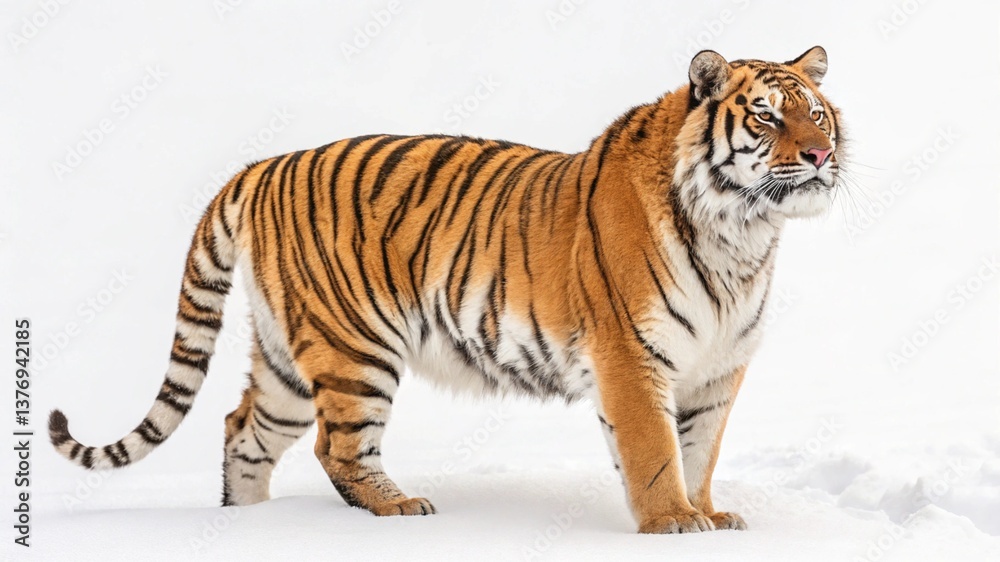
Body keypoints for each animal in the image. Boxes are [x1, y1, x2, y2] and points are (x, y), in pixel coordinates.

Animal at [49, 46, 841, 534]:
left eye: (819, 112)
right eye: (766, 115)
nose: (821, 153)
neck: (742, 235)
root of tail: (264, 164)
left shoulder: (717, 367)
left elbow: (700, 447)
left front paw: (710, 516)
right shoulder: (631, 355)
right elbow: (653, 450)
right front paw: (672, 522)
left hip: (287, 359)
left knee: (242, 428)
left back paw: (245, 525)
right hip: (354, 347)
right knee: (338, 449)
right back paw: (400, 509)